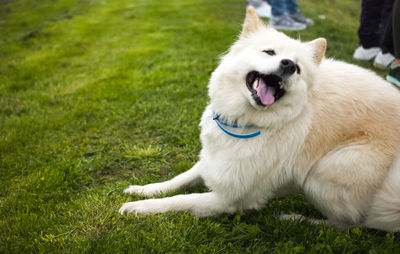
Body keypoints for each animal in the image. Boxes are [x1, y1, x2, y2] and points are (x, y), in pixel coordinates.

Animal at [119, 7, 400, 232]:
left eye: (298, 68)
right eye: (269, 52)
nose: (288, 65)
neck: (246, 123)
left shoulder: (229, 199)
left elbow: (179, 201)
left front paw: (139, 207)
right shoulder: (214, 161)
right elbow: (179, 179)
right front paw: (144, 189)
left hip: (325, 171)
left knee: (348, 225)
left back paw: (296, 219)